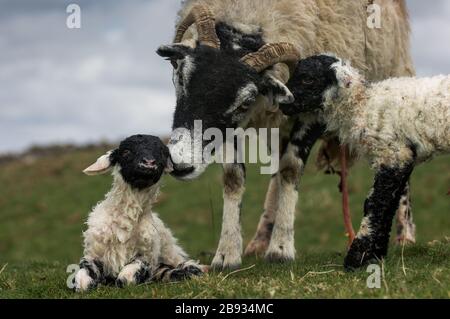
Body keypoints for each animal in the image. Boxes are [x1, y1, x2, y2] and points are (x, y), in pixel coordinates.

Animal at [74, 134, 204, 294]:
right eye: (125, 152)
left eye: (162, 152)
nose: (149, 163)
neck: (125, 222)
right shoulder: (92, 254)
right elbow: (82, 281)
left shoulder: (146, 256)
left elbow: (125, 279)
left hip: (170, 251)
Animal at [157, 0, 414, 272]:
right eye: (181, 78)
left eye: (245, 100)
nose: (180, 163)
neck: (252, 12)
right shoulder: (230, 127)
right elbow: (234, 176)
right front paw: (227, 253)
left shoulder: (314, 110)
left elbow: (291, 169)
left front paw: (281, 249)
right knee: (276, 172)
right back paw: (260, 240)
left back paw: (405, 236)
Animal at [278, 55, 450, 270]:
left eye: (308, 79)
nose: (282, 103)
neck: (363, 105)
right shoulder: (401, 157)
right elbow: (388, 204)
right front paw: (375, 255)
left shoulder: (393, 153)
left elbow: (374, 203)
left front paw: (355, 258)